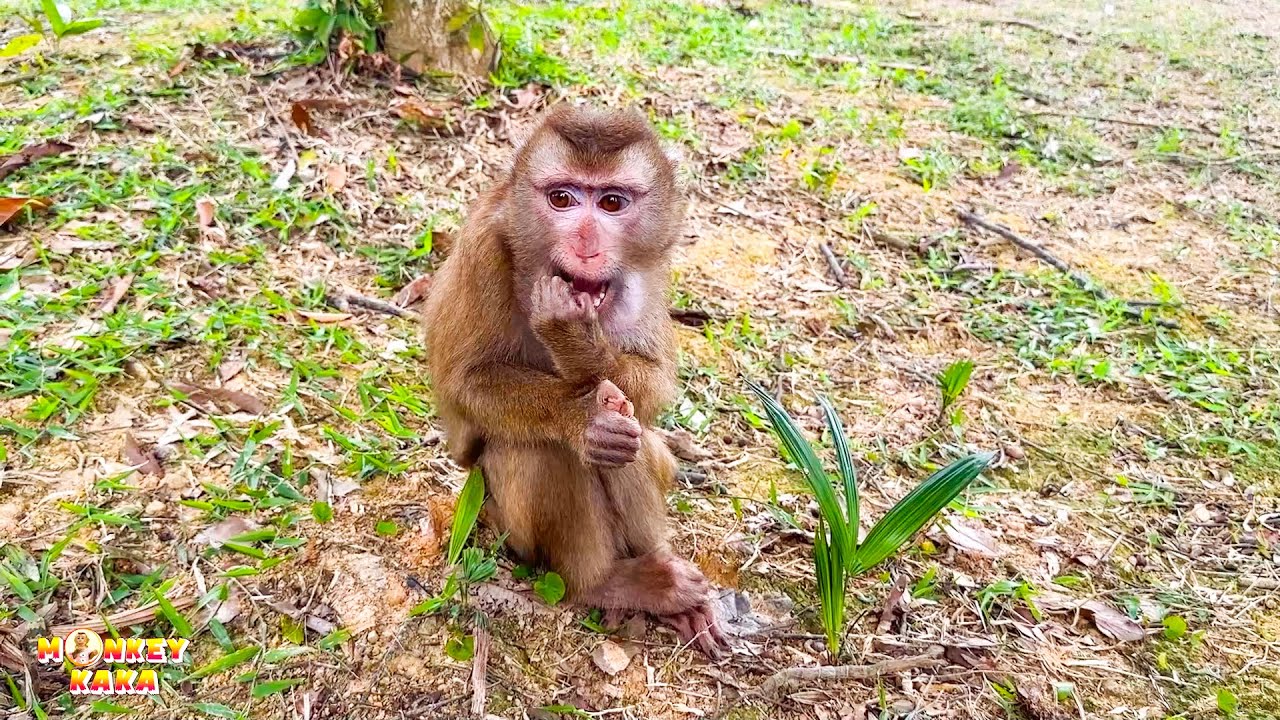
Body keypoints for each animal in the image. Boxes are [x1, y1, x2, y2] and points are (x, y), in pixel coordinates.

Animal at [423, 105, 729, 657]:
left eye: (611, 202)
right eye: (561, 199)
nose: (585, 244)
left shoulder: (650, 270)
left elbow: (652, 384)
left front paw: (577, 345)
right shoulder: (482, 248)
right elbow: (467, 384)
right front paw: (581, 417)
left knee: (634, 439)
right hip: (501, 523)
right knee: (544, 452)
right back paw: (603, 583)